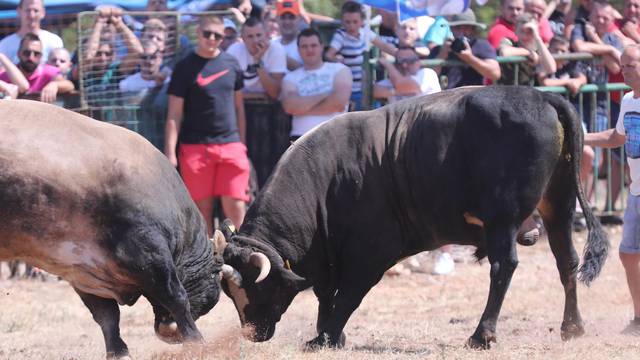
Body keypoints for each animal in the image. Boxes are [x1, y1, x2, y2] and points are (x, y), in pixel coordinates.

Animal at [0, 100, 225, 358]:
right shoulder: (148, 249)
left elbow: (106, 316)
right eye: (217, 274)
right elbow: (176, 296)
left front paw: (118, 351)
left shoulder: (82, 268)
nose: (170, 331)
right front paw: (196, 341)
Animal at [220, 86, 608, 348]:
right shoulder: (330, 256)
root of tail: (543, 97)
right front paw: (329, 334)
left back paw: (482, 334)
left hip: (503, 219)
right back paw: (572, 327)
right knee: (566, 260)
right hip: (558, 205)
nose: (252, 333)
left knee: (504, 267)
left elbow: (347, 295)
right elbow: (325, 293)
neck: (323, 180)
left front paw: (327, 336)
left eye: (255, 288)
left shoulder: (371, 252)